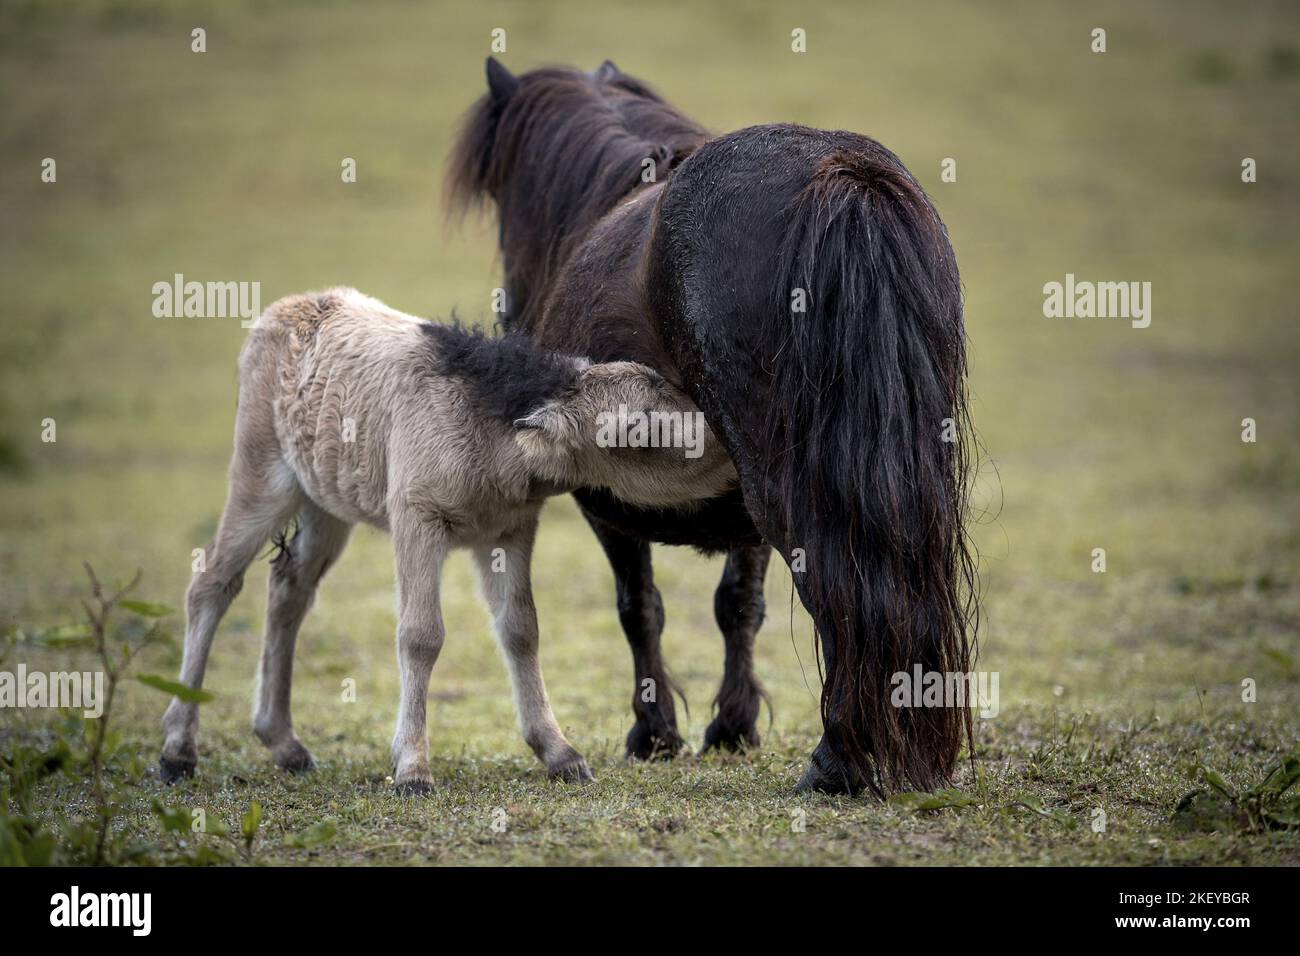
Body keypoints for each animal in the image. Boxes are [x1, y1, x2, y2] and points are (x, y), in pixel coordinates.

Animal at [158, 287, 738, 793]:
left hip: (325, 506)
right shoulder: (416, 519)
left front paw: (559, 753)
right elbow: (421, 635)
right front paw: (413, 768)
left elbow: (521, 629)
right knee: (212, 584)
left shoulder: (510, 530)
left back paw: (284, 743)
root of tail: (289, 308)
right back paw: (177, 751)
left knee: (289, 592)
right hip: (261, 478)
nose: (727, 443)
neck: (482, 425)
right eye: (639, 429)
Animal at [447, 58, 978, 795]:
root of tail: (841, 173)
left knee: (834, 585)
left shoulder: (604, 502)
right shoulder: (740, 509)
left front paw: (655, 733)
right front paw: (732, 725)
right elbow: (738, 605)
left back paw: (835, 762)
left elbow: (639, 607)